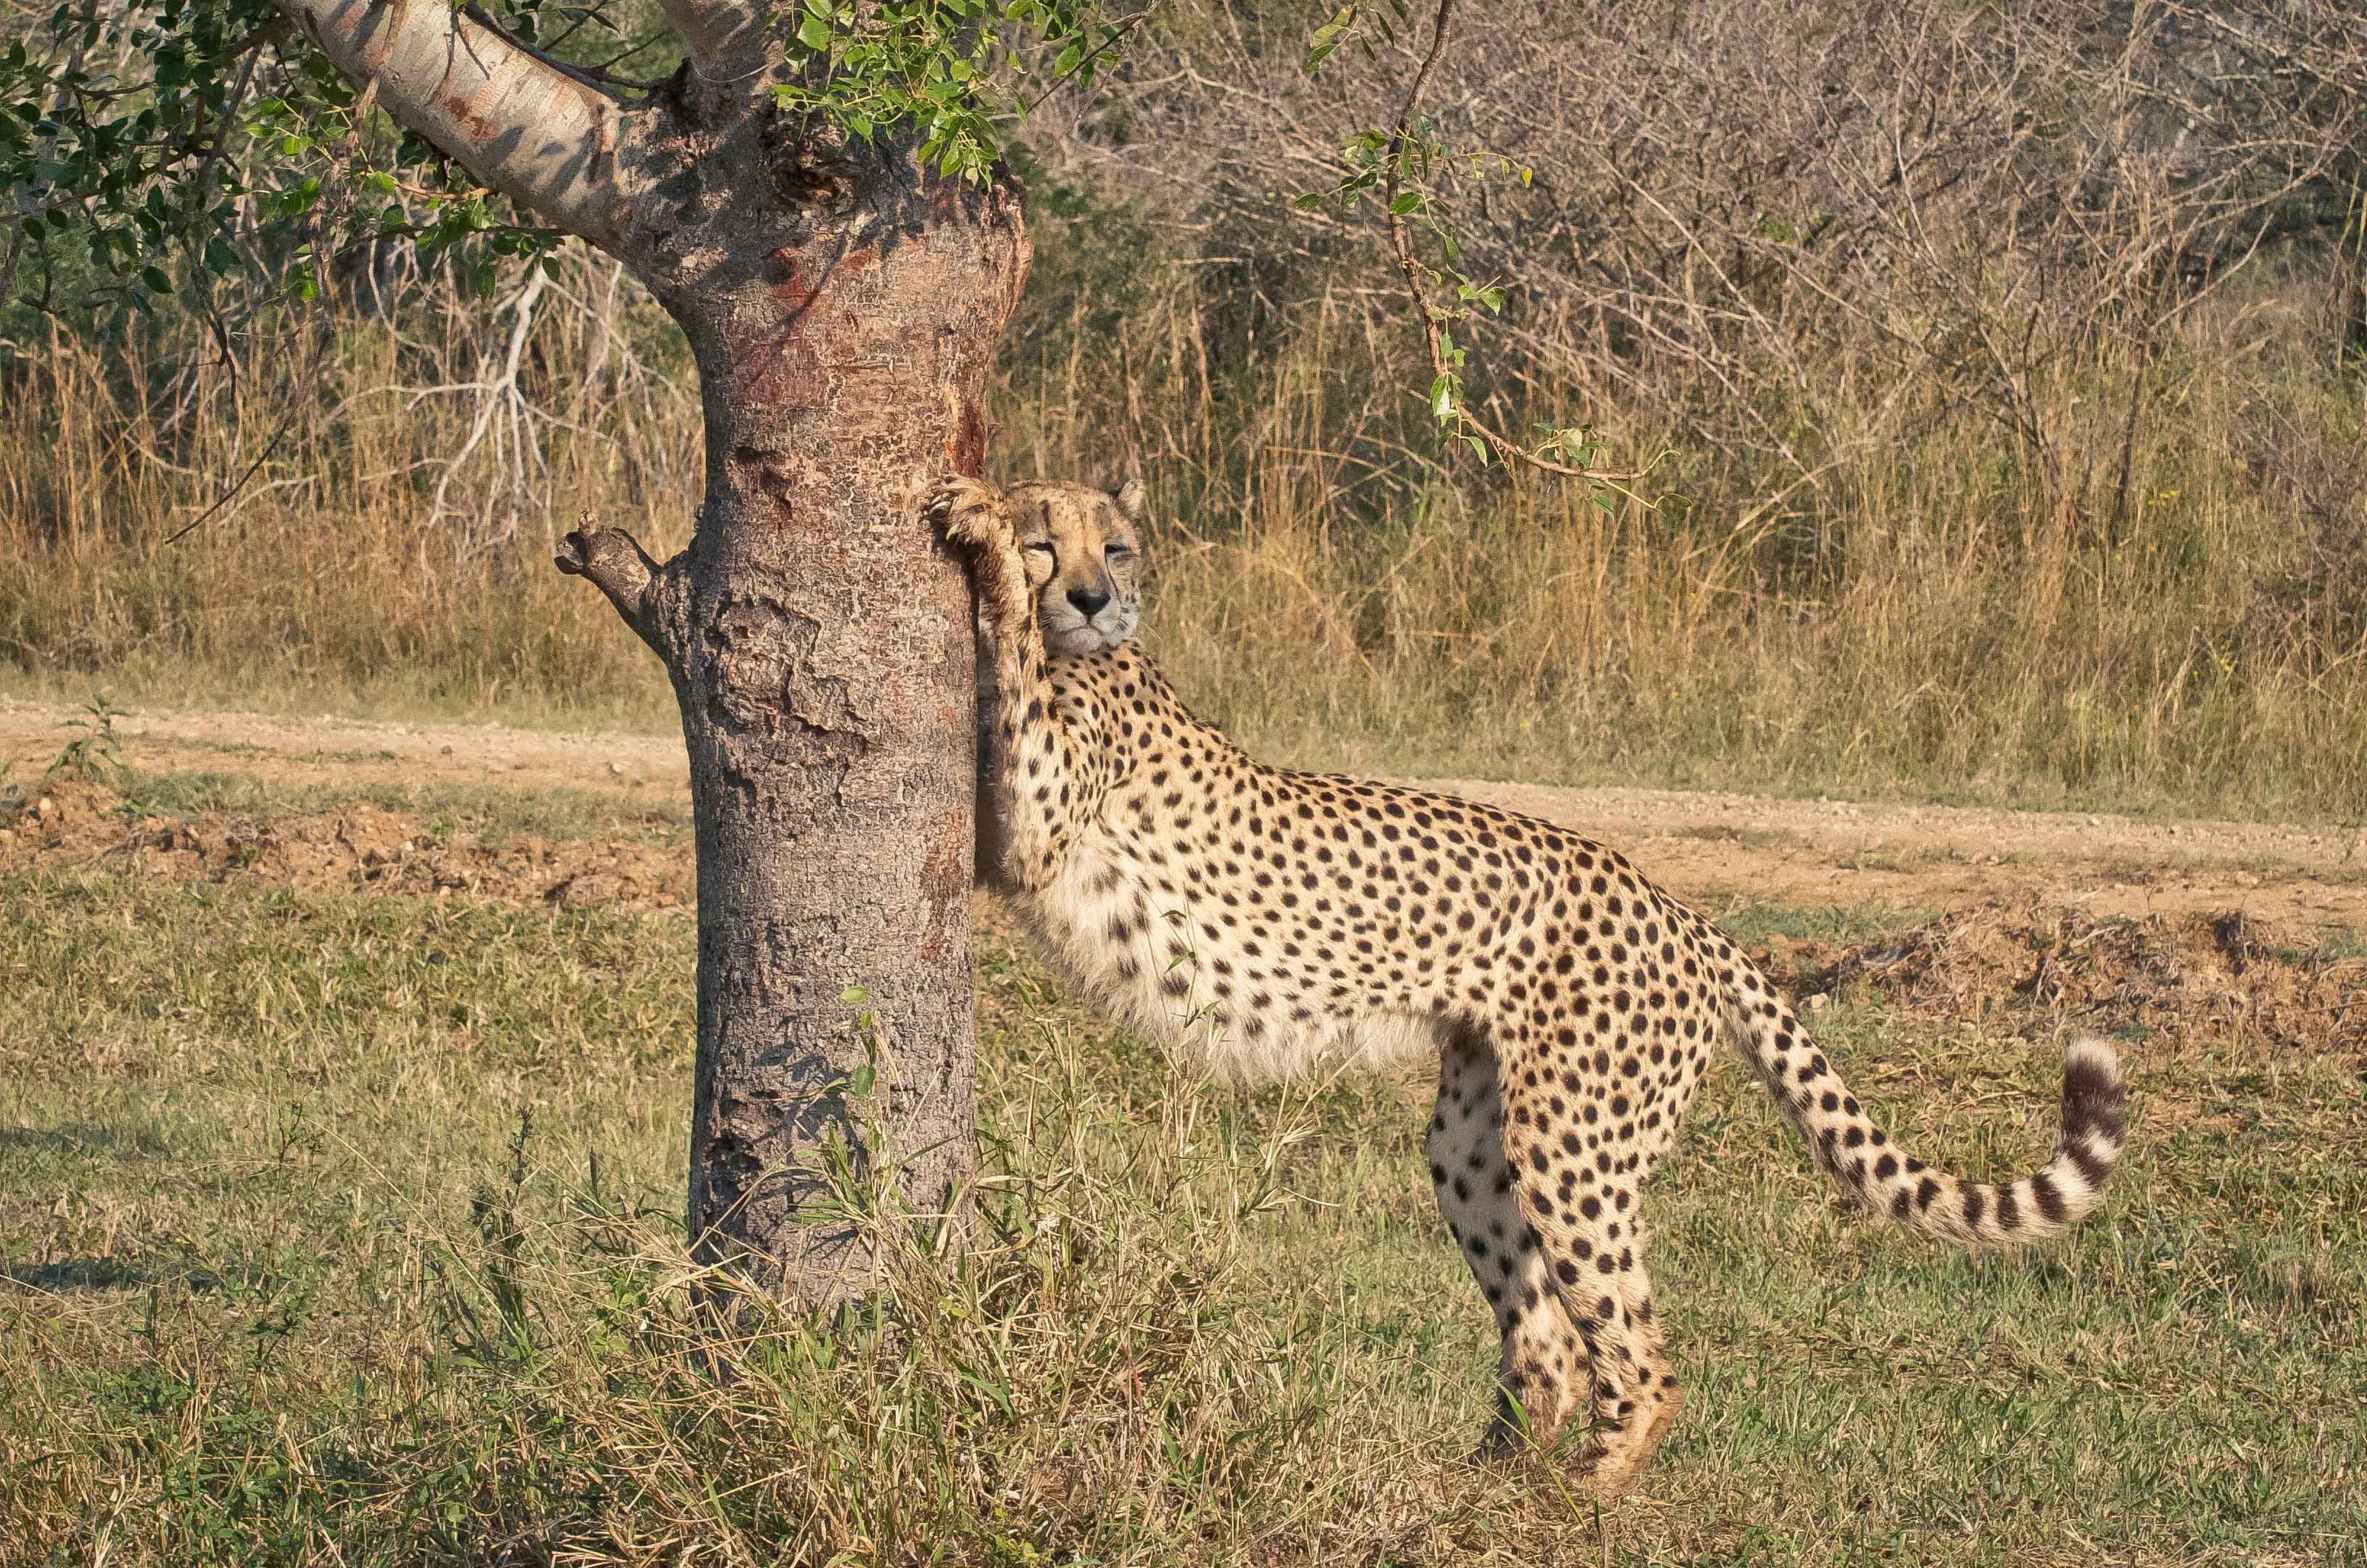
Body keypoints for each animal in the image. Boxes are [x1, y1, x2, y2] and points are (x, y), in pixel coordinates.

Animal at [929, 472, 2130, 1496]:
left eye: (1114, 546)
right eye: (1053, 542)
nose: (1092, 599)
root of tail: (1680, 907)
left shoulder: (1036, 832)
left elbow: (1014, 675)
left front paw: (976, 526)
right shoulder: (1006, 849)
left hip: (1574, 1144)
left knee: (1640, 1356)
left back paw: (1581, 1496)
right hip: (1475, 1141)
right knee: (1548, 1334)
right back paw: (1493, 1477)